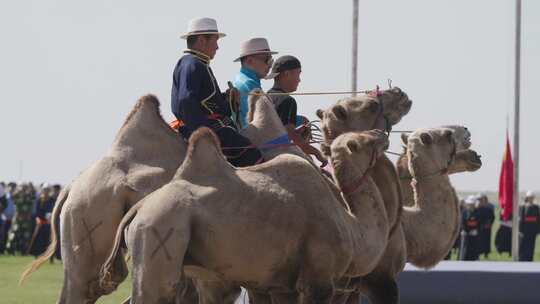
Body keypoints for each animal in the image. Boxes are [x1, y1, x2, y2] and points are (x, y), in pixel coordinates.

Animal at [99, 127, 390, 302]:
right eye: (364, 141)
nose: (381, 132)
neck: (351, 226)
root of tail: (140, 207)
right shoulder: (319, 278)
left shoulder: (279, 285)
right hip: (161, 231)